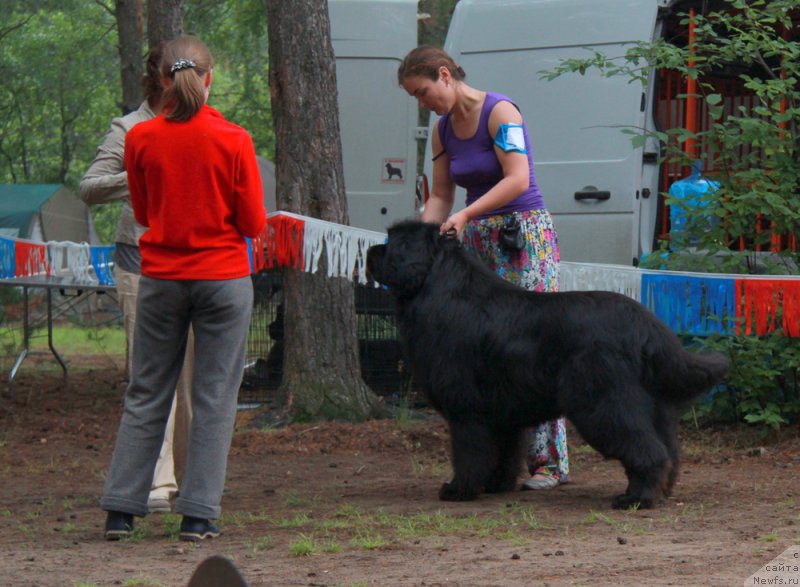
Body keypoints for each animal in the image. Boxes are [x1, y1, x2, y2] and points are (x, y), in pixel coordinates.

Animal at [368, 220, 732, 510]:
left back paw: (636, 498)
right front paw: (494, 486)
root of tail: (647, 324)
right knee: (668, 450)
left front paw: (459, 490)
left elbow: (469, 454)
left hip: (603, 402)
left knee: (647, 449)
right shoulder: (500, 413)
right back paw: (660, 491)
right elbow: (502, 454)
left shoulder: (466, 409)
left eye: (391, 242)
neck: (437, 285)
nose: (371, 251)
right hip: (651, 406)